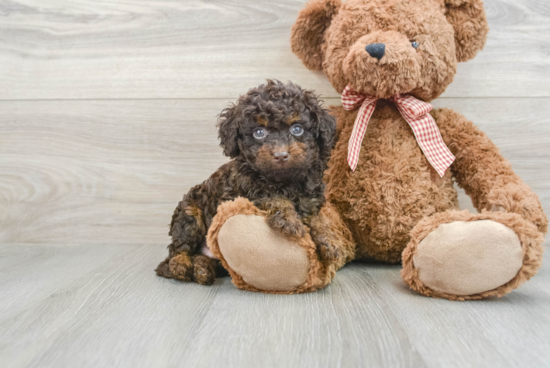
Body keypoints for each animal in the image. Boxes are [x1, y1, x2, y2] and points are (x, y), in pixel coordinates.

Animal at [155, 80, 340, 284]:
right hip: (190, 214)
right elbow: (275, 198)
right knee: (178, 248)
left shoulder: (310, 197)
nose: (281, 155)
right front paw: (290, 221)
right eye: (259, 132)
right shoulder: (248, 189)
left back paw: (203, 269)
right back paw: (181, 265)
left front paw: (329, 241)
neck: (284, 179)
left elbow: (318, 219)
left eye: (297, 129)